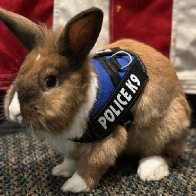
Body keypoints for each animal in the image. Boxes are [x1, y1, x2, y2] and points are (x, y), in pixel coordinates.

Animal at [0, 6, 190, 193]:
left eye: (50, 80)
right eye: (21, 71)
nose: (14, 111)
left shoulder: (107, 140)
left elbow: (93, 164)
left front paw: (73, 185)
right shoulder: (71, 145)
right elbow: (71, 160)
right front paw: (61, 170)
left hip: (161, 129)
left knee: (167, 152)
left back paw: (149, 170)